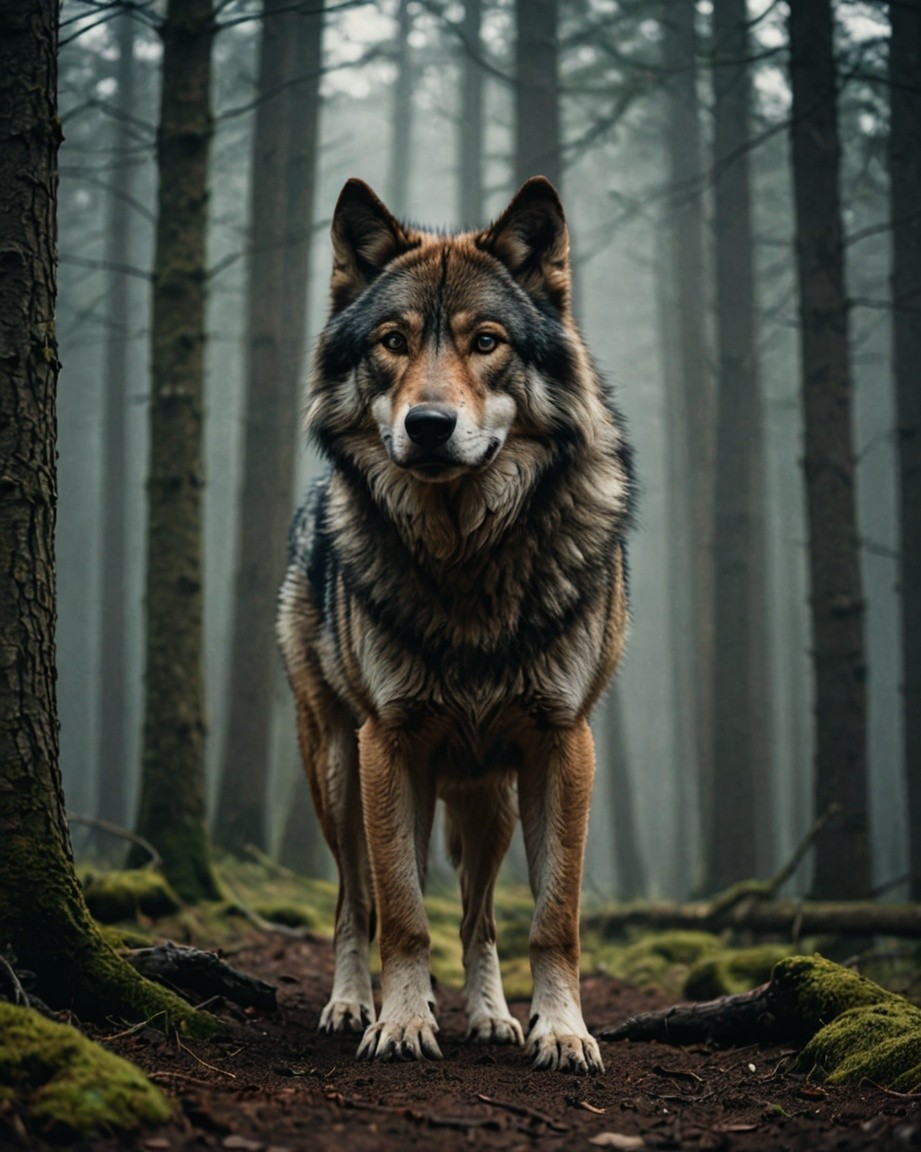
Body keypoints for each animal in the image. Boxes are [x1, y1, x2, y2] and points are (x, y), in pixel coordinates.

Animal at [277, 176, 634, 1073]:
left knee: (478, 916)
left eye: (485, 342)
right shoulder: (389, 743)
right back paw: (349, 1004)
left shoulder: (562, 743)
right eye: (393, 342)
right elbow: (402, 913)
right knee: (353, 899)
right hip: (337, 769)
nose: (428, 426)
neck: (467, 561)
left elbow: (552, 919)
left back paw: (492, 1016)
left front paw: (561, 1030)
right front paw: (400, 1022)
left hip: (487, 798)